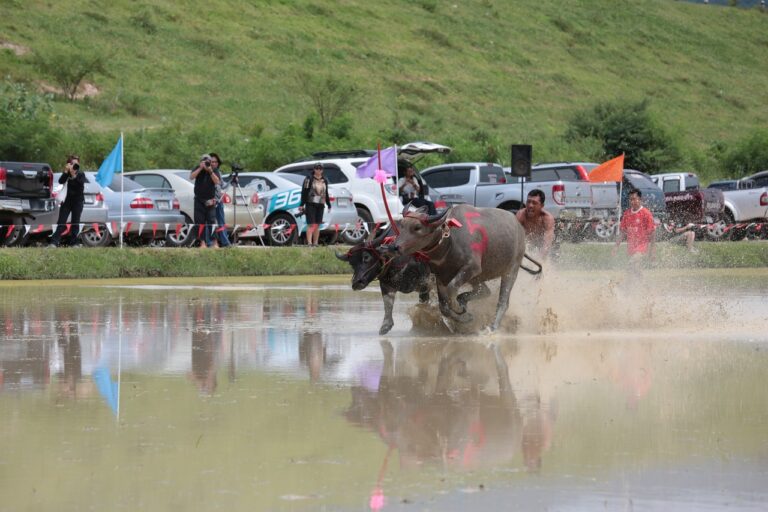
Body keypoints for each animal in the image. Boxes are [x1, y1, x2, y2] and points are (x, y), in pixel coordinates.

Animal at [392, 204, 536, 332]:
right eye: (402, 225)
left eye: (417, 227)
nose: (395, 247)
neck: (449, 241)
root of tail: (520, 228)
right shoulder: (441, 276)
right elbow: (443, 307)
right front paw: (465, 317)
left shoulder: (471, 268)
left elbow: (451, 291)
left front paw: (459, 309)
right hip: (477, 278)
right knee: (485, 291)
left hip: (510, 271)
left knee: (503, 302)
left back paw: (492, 327)